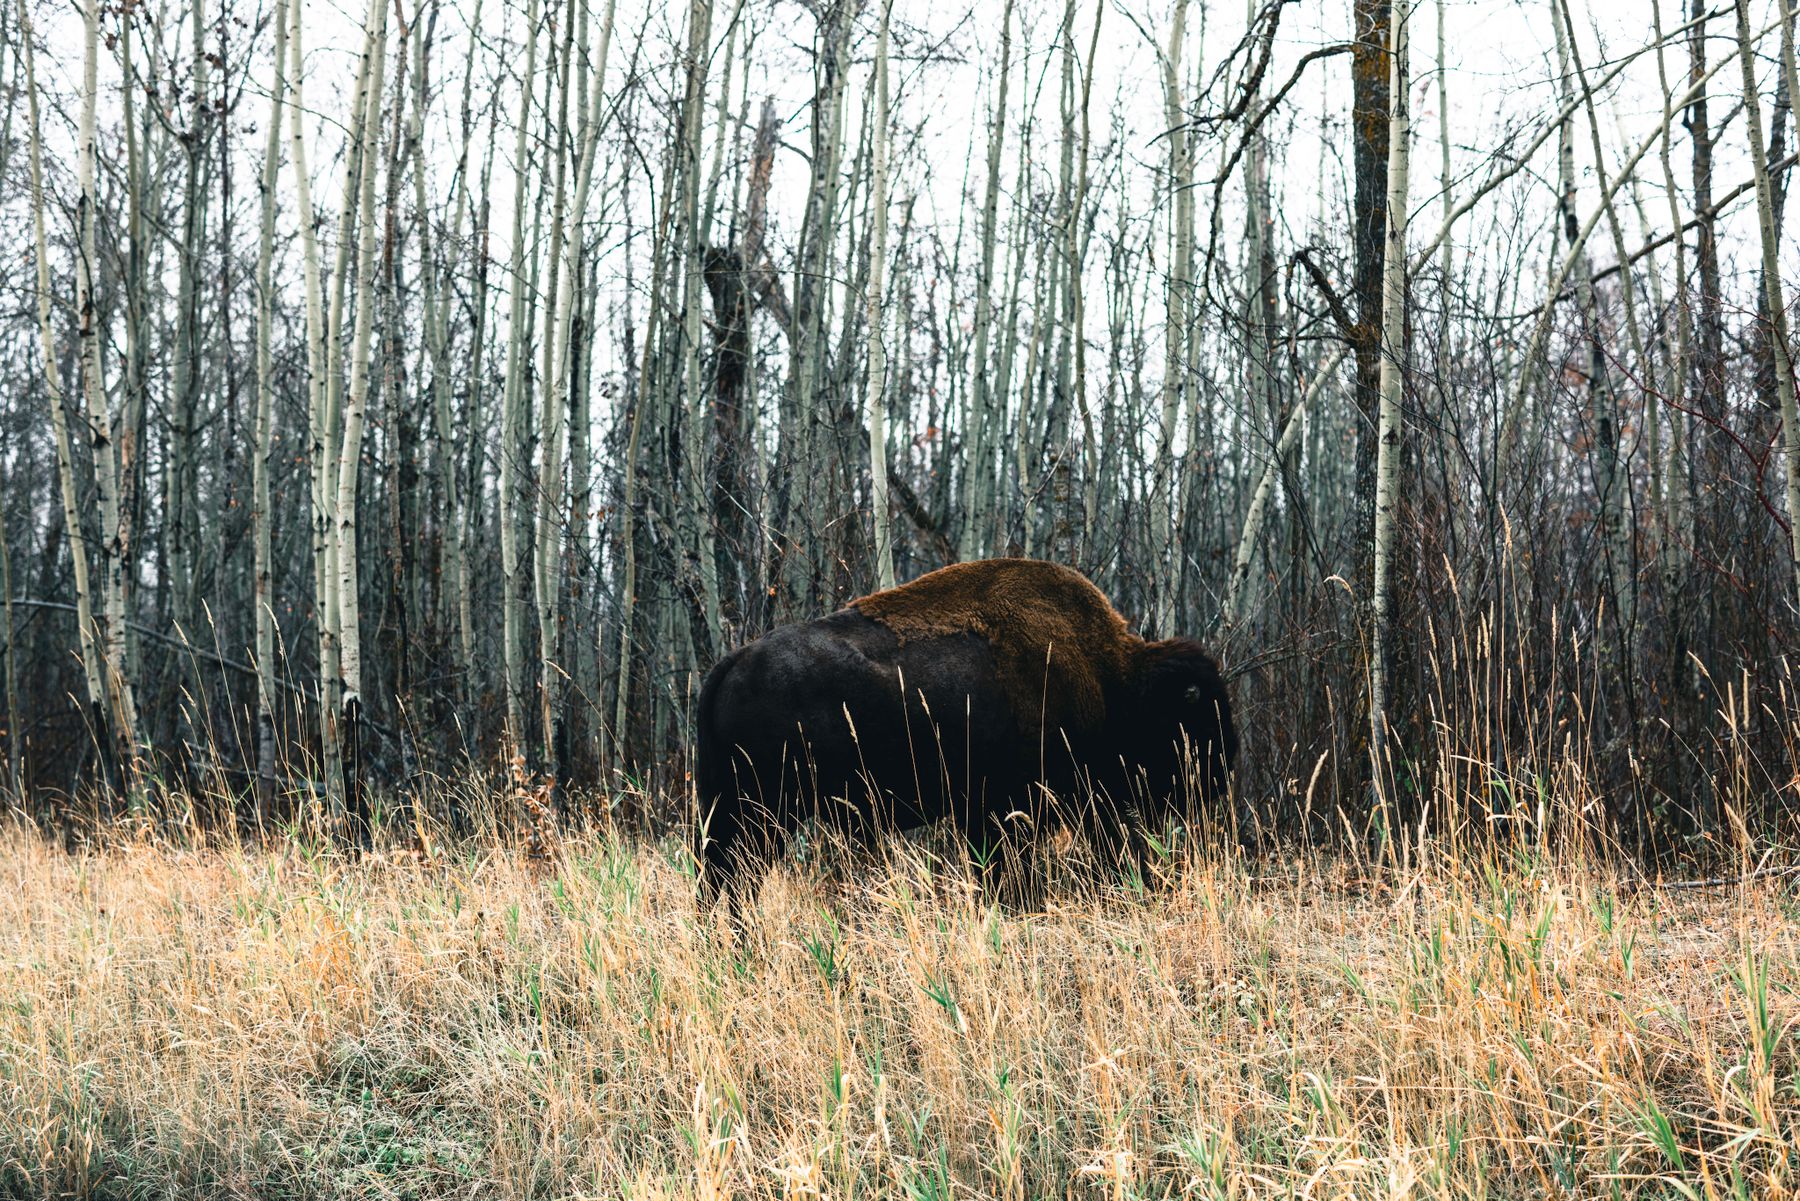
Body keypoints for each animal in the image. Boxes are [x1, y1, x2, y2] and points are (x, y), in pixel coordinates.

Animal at [694, 558, 1236, 904]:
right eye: (1198, 711)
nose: (1222, 771)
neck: (1110, 677)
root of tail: (732, 663)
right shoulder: (1010, 810)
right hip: (762, 816)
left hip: (730, 813)